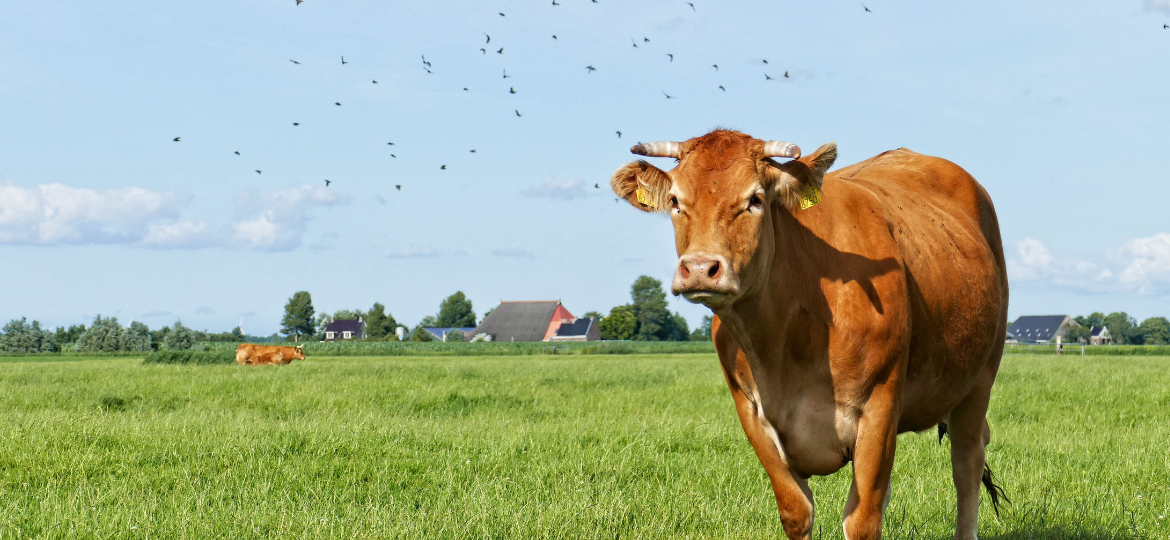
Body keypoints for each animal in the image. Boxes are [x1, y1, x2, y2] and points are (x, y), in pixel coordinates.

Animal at [610, 129, 1008, 540]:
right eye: (675, 200)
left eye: (755, 199)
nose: (701, 268)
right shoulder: (751, 413)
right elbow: (796, 511)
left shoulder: (879, 406)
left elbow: (862, 522)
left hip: (981, 375)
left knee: (967, 463)